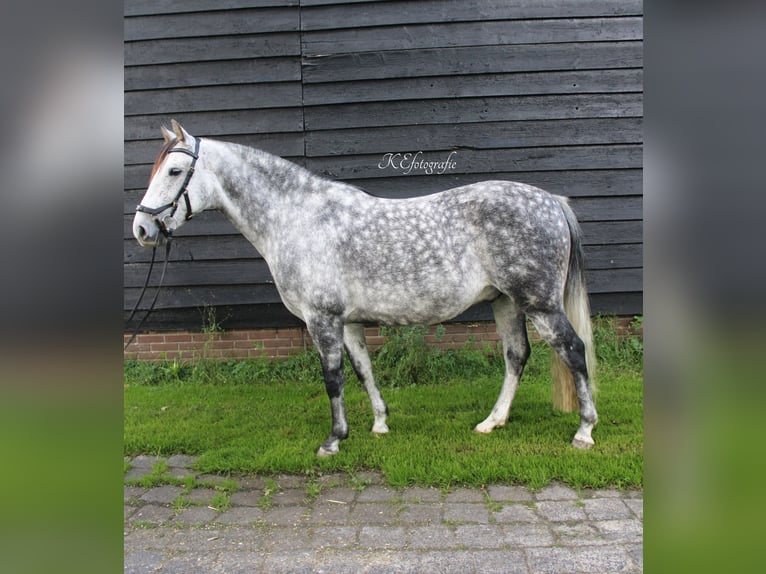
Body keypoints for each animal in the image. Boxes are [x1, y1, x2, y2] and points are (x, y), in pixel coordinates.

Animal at [134, 121, 600, 460]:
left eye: (174, 171)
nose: (142, 228)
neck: (298, 218)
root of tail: (552, 201)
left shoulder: (322, 319)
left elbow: (333, 378)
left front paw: (333, 440)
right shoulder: (349, 322)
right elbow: (363, 371)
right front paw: (379, 424)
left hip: (539, 303)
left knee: (573, 350)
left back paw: (584, 431)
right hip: (505, 302)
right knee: (516, 355)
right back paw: (492, 422)